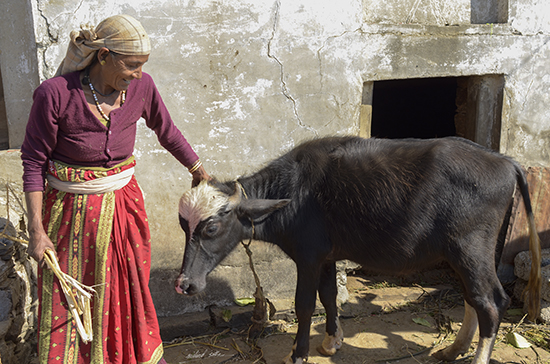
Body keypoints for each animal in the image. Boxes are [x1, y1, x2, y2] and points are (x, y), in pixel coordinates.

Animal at [177, 136, 544, 364]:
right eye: (183, 225)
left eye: (211, 228)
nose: (185, 284)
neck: (293, 194)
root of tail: (504, 161)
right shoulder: (326, 257)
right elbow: (328, 297)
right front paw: (331, 342)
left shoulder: (308, 257)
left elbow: (305, 306)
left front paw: (298, 353)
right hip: (463, 254)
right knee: (472, 298)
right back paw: (452, 350)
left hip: (471, 249)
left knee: (491, 302)